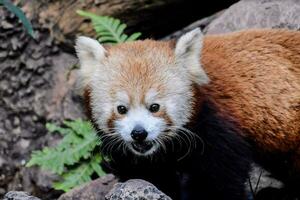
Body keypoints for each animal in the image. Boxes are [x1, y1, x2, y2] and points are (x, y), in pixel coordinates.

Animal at [75, 28, 300, 200]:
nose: (139, 133)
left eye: (154, 106)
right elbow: (147, 175)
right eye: (121, 109)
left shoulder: (218, 126)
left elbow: (219, 178)